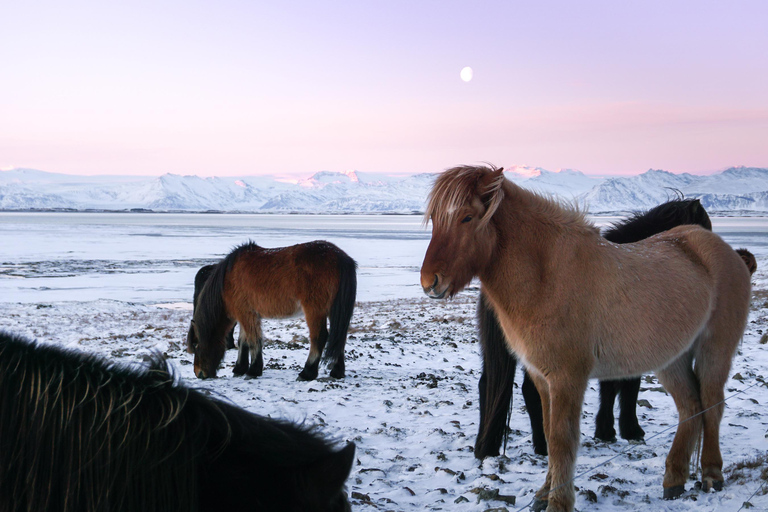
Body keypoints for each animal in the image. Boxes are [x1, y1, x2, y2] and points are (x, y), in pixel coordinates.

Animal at [192, 240, 360, 380]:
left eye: (196, 346)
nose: (199, 373)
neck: (227, 280)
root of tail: (341, 257)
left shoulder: (245, 313)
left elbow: (253, 340)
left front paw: (253, 370)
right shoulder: (247, 314)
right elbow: (243, 341)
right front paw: (240, 368)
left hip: (315, 311)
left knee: (319, 337)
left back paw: (307, 373)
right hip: (334, 310)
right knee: (339, 337)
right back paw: (337, 372)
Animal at [472, 196, 716, 456]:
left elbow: (610, 386)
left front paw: (606, 430)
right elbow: (629, 385)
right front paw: (630, 430)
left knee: (488, 384)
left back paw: (487, 448)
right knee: (531, 390)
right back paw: (543, 445)